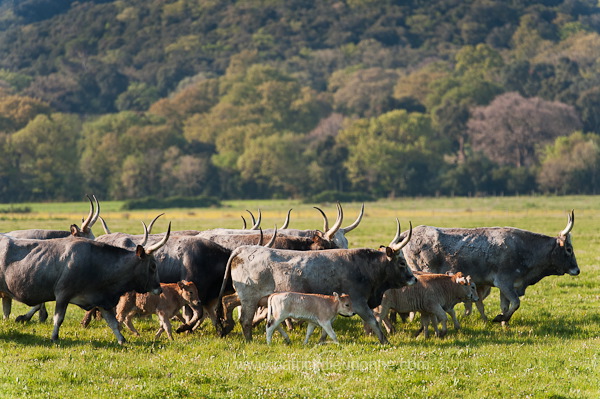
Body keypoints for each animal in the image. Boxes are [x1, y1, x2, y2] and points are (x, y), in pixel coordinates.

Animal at [0, 225, 169, 344]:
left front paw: (122, 340)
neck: (95, 264)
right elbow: (58, 318)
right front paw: (54, 337)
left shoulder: (101, 299)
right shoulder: (63, 295)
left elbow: (113, 322)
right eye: (153, 266)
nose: (159, 288)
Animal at [217, 220, 418, 346]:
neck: (364, 266)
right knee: (245, 320)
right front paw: (385, 341)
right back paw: (249, 340)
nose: (413, 278)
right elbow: (373, 321)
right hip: (249, 299)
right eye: (402, 262)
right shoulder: (359, 302)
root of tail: (244, 249)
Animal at [400, 211, 580, 324]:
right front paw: (501, 318)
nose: (577, 270)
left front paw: (504, 322)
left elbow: (506, 305)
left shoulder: (506, 286)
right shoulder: (504, 282)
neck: (525, 249)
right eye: (569, 249)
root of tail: (408, 233)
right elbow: (516, 303)